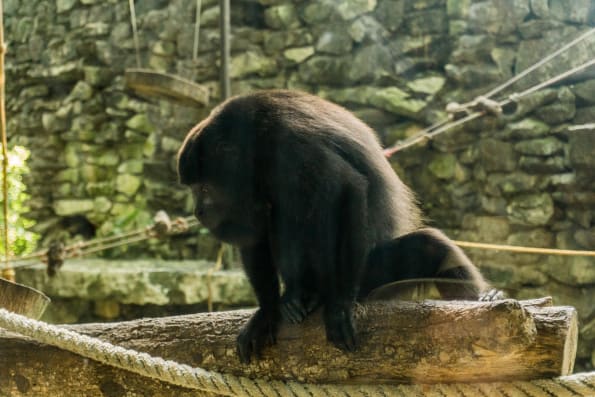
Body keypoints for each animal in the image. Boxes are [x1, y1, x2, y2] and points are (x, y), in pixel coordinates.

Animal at [176, 89, 488, 362]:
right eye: (192, 189)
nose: (197, 211)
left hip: (369, 276)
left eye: (204, 189)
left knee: (429, 246)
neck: (253, 145)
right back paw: (296, 295)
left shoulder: (291, 144)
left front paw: (340, 305)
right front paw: (266, 313)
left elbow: (348, 188)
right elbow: (254, 234)